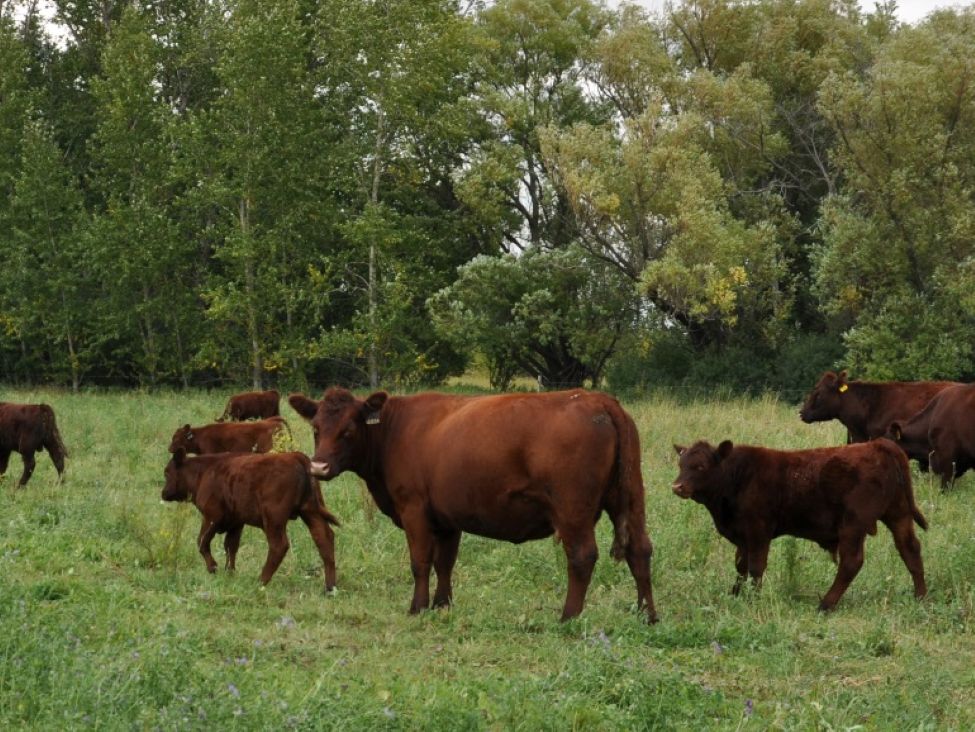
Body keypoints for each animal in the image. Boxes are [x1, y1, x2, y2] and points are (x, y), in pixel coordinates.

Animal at [162, 448, 339, 590]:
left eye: (167, 472)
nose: (163, 493)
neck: (204, 472)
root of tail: (294, 456)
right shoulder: (236, 522)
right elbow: (231, 546)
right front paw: (230, 572)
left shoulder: (211, 516)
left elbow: (202, 541)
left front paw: (213, 567)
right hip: (310, 512)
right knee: (324, 538)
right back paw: (329, 587)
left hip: (273, 519)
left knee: (279, 546)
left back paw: (261, 581)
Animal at [288, 387, 657, 623]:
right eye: (316, 428)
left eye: (349, 429)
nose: (318, 467)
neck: (394, 430)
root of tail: (598, 399)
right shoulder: (446, 519)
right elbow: (445, 563)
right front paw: (442, 604)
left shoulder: (414, 509)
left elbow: (420, 562)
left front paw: (417, 607)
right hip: (630, 498)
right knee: (640, 549)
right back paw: (647, 614)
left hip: (572, 511)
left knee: (582, 556)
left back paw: (568, 617)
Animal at [671, 438, 927, 611]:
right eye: (681, 464)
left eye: (701, 466)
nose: (677, 486)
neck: (737, 477)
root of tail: (877, 444)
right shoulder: (742, 535)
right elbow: (740, 566)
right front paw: (734, 594)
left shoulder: (758, 530)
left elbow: (755, 566)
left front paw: (754, 598)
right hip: (898, 514)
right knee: (910, 550)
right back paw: (920, 596)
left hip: (853, 524)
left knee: (852, 562)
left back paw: (826, 604)